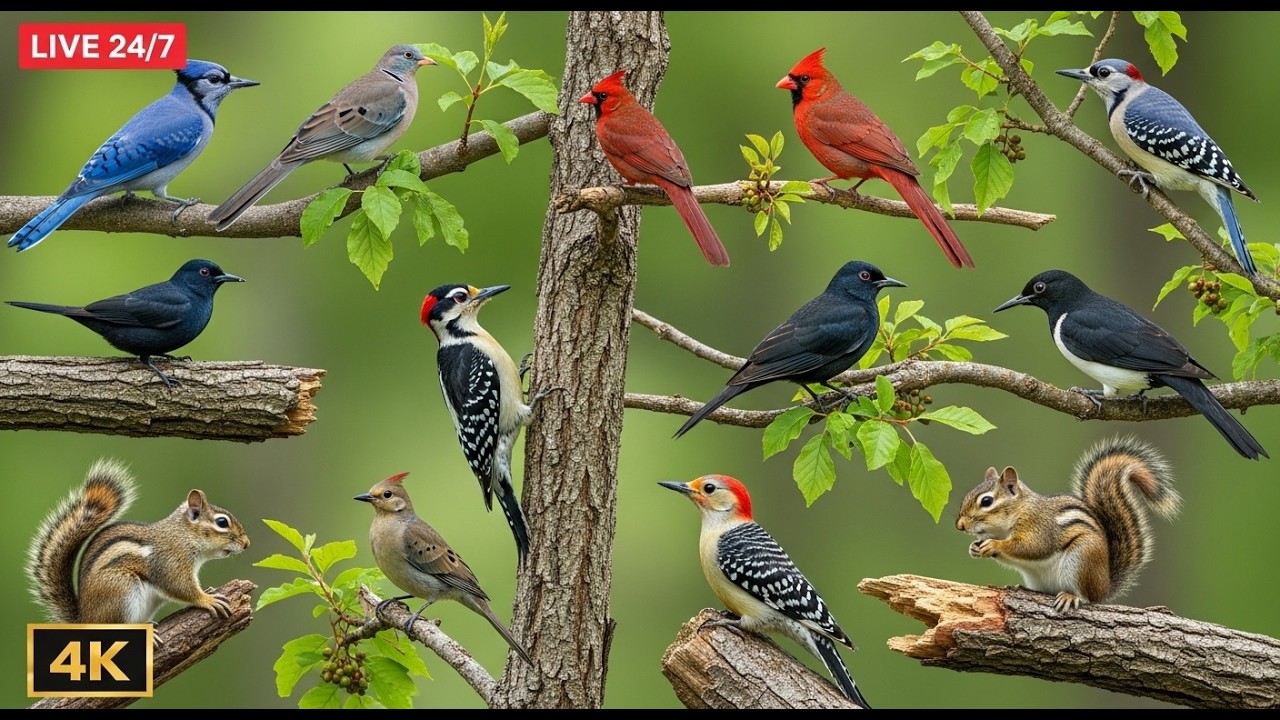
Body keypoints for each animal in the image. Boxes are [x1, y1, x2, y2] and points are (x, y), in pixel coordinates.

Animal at [25, 457, 251, 628]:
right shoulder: (170, 562)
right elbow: (181, 587)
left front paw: (210, 591)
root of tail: (84, 619)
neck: (184, 535)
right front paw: (207, 599)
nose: (247, 544)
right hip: (121, 590)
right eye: (222, 522)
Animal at [954, 435, 1181, 614]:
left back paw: (1072, 597)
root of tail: (1105, 585)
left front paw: (993, 545)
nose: (960, 525)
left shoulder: (1040, 528)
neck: (1019, 510)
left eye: (986, 501)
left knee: (1087, 597)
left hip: (1082, 559)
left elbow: (1031, 547)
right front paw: (974, 548)